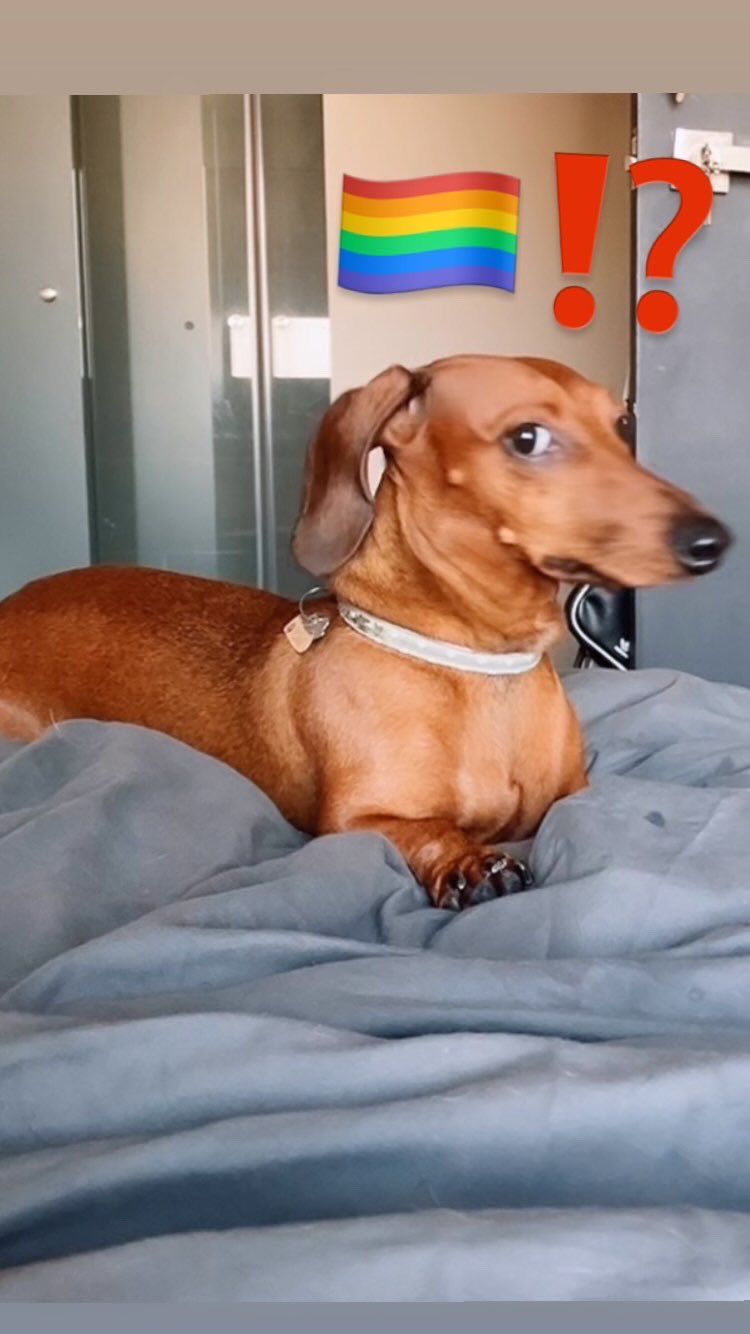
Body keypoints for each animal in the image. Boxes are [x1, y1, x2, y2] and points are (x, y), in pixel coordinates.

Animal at [0, 356, 731, 909]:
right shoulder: (353, 821)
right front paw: (471, 862)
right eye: (527, 438)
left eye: (622, 425)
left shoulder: (573, 796)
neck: (475, 665)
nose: (712, 541)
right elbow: (426, 830)